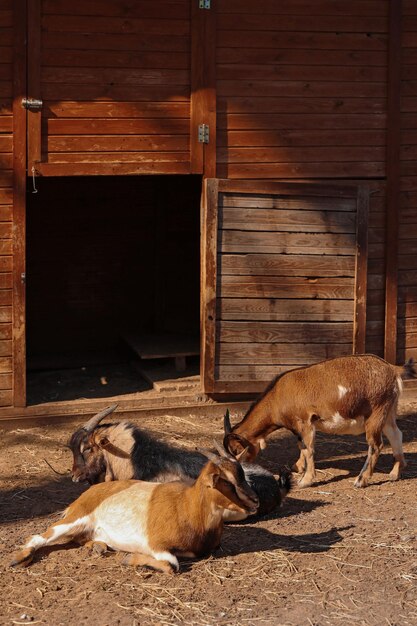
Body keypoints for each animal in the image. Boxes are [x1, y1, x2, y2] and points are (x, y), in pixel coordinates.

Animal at [223, 354, 414, 486]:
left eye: (237, 451)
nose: (240, 473)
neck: (277, 396)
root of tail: (392, 369)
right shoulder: (297, 427)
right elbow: (301, 445)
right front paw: (298, 467)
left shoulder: (305, 421)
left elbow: (309, 449)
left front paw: (305, 480)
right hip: (388, 411)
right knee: (396, 434)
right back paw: (395, 472)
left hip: (376, 411)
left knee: (376, 445)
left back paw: (362, 480)